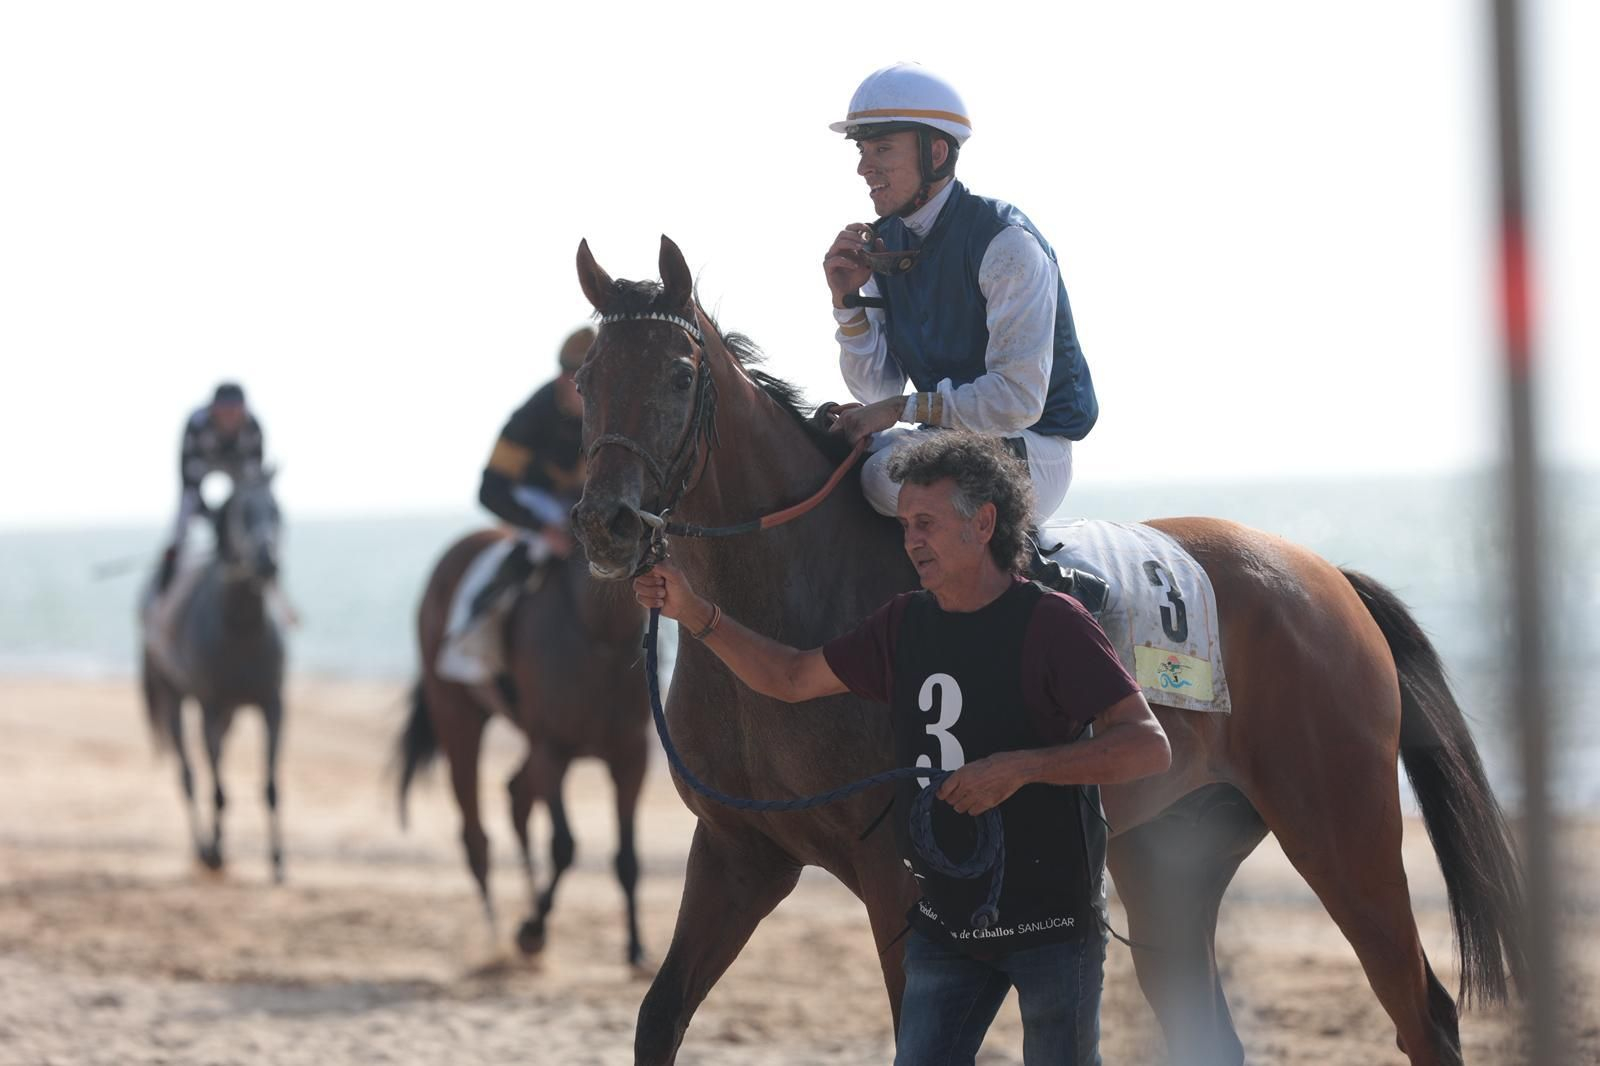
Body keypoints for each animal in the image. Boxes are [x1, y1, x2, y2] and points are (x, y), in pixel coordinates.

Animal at [140, 468, 288, 882]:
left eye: (277, 510)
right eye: (241, 513)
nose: (267, 561)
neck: (241, 630)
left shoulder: (272, 704)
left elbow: (271, 785)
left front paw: (277, 861)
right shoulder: (210, 705)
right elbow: (218, 788)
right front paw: (216, 853)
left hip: (231, 714)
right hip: (174, 698)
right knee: (190, 775)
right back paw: (204, 849)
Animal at [398, 528, 652, 966]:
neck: (601, 632)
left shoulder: (632, 757)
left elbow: (627, 857)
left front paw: (636, 948)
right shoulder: (552, 750)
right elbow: (564, 845)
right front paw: (531, 931)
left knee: (516, 796)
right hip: (457, 713)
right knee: (475, 833)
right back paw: (496, 932)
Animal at [567, 236, 1526, 1066]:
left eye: (679, 373)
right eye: (586, 378)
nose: (608, 524)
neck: (792, 597)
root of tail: (1327, 576)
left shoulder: (900, 880)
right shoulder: (740, 854)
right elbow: (659, 1017)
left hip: (1344, 833)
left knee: (1425, 1012)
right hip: (1170, 858)